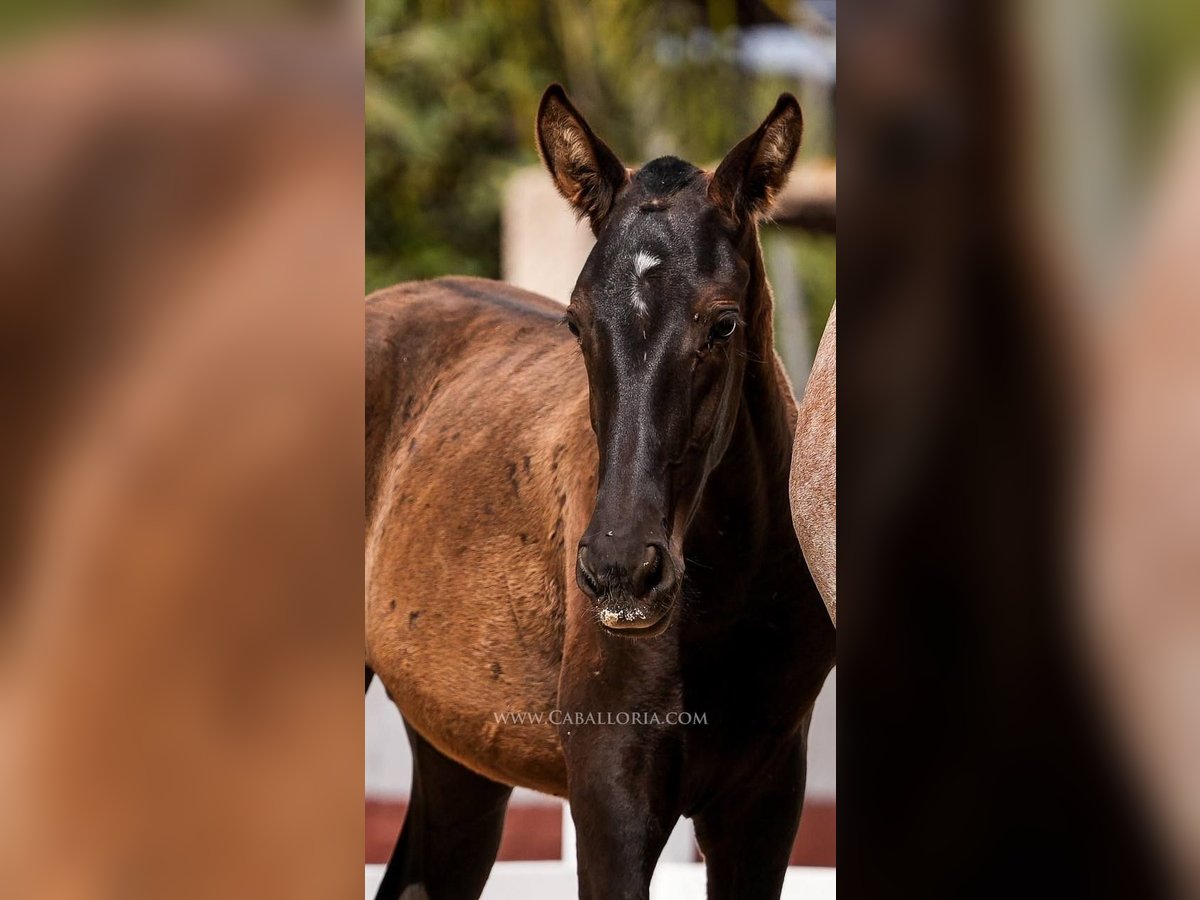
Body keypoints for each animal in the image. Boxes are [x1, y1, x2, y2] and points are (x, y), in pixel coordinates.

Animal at [364, 84, 835, 900]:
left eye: (723, 323)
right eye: (577, 322)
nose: (621, 571)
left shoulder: (766, 802)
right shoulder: (611, 799)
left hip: (456, 759)